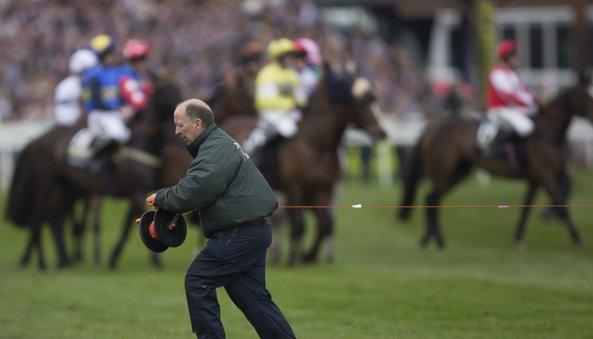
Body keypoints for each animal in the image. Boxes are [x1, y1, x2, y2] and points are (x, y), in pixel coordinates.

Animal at [221, 64, 384, 266]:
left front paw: (308, 255)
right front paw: (293, 258)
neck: (316, 145)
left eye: (373, 98)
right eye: (363, 101)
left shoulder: (322, 190)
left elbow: (324, 224)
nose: (382, 132)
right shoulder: (295, 188)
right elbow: (299, 224)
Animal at [396, 77, 592, 247]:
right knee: (432, 198)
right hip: (444, 173)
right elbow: (561, 201)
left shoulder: (536, 179)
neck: (547, 131)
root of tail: (432, 127)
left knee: (432, 198)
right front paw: (577, 238)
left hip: (458, 173)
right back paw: (437, 239)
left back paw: (429, 239)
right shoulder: (545, 174)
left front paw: (518, 237)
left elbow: (527, 208)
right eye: (588, 96)